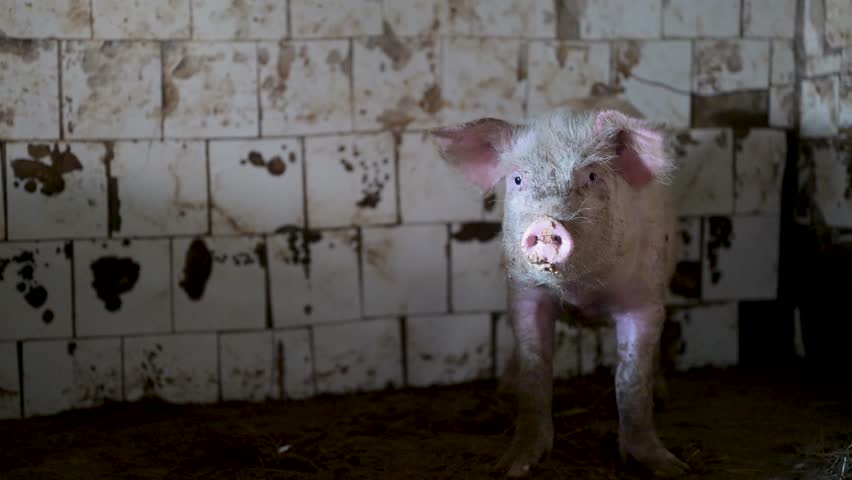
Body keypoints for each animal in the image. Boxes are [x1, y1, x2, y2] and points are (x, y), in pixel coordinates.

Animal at [430, 100, 689, 478]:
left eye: (592, 176)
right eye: (518, 179)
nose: (547, 223)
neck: (582, 292)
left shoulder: (644, 299)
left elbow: (631, 378)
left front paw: (671, 467)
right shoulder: (524, 294)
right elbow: (535, 371)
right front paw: (511, 467)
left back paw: (665, 396)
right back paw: (504, 390)